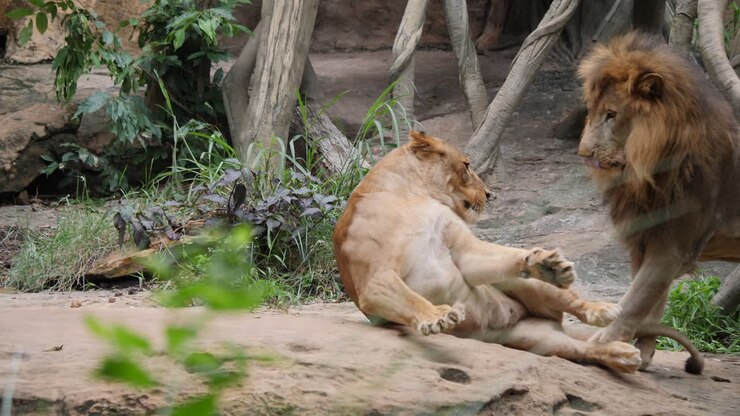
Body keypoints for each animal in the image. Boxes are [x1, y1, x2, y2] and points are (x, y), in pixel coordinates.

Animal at [333, 130, 701, 373]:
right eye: (467, 165)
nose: (490, 194)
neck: (412, 195)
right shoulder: (373, 281)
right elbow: (409, 299)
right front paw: (436, 316)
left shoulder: (462, 249)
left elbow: (499, 255)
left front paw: (543, 262)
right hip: (542, 343)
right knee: (583, 349)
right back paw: (622, 356)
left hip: (528, 289)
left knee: (570, 305)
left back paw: (597, 306)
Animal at [578, 31, 740, 373]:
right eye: (591, 111)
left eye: (611, 115)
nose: (584, 153)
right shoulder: (645, 239)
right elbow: (653, 304)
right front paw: (643, 354)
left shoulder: (672, 247)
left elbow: (633, 302)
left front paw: (601, 345)